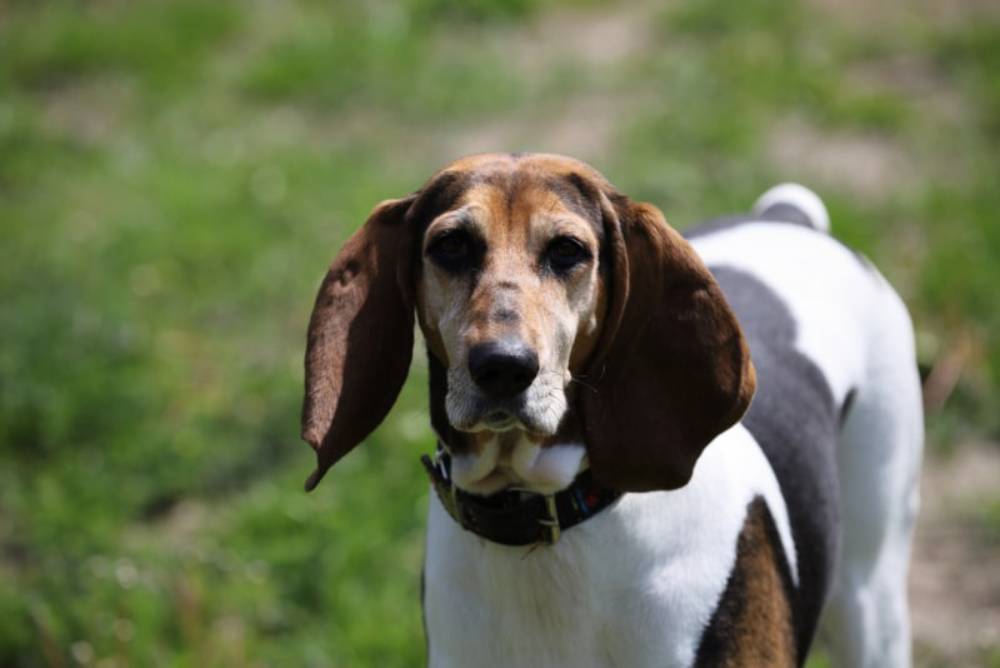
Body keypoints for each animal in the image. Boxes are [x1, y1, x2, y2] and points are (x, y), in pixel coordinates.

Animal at [296, 154, 920, 664]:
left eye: (568, 250)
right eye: (450, 245)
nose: (503, 366)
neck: (544, 521)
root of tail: (790, 218)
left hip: (872, 600)